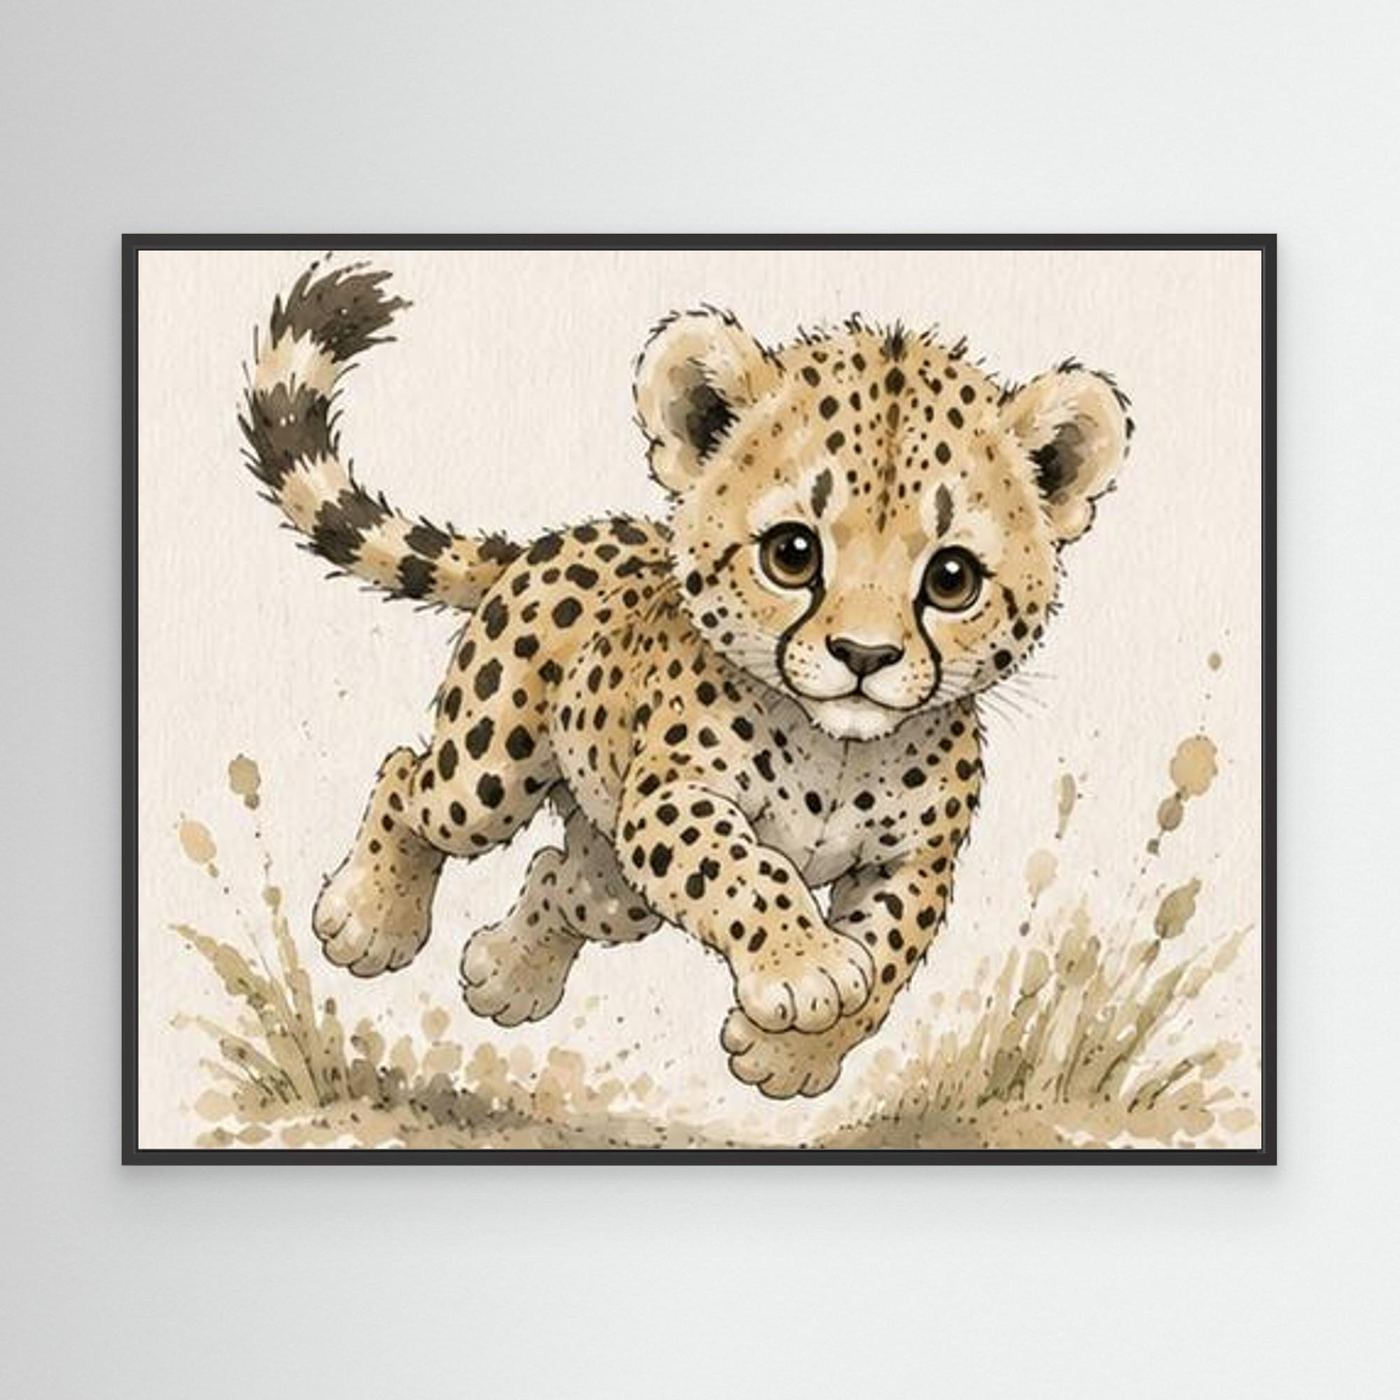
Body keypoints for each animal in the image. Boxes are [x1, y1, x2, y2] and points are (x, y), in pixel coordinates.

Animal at [238, 259, 1132, 1099]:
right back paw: (369, 917)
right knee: (411, 780)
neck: (841, 752)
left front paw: (792, 1053)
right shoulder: (675, 797)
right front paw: (804, 966)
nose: (864, 657)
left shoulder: (916, 861)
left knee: (563, 879)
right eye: (792, 553)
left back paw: (509, 974)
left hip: (615, 875)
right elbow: (742, 867)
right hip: (487, 776)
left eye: (952, 579)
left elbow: (887, 951)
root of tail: (556, 539)